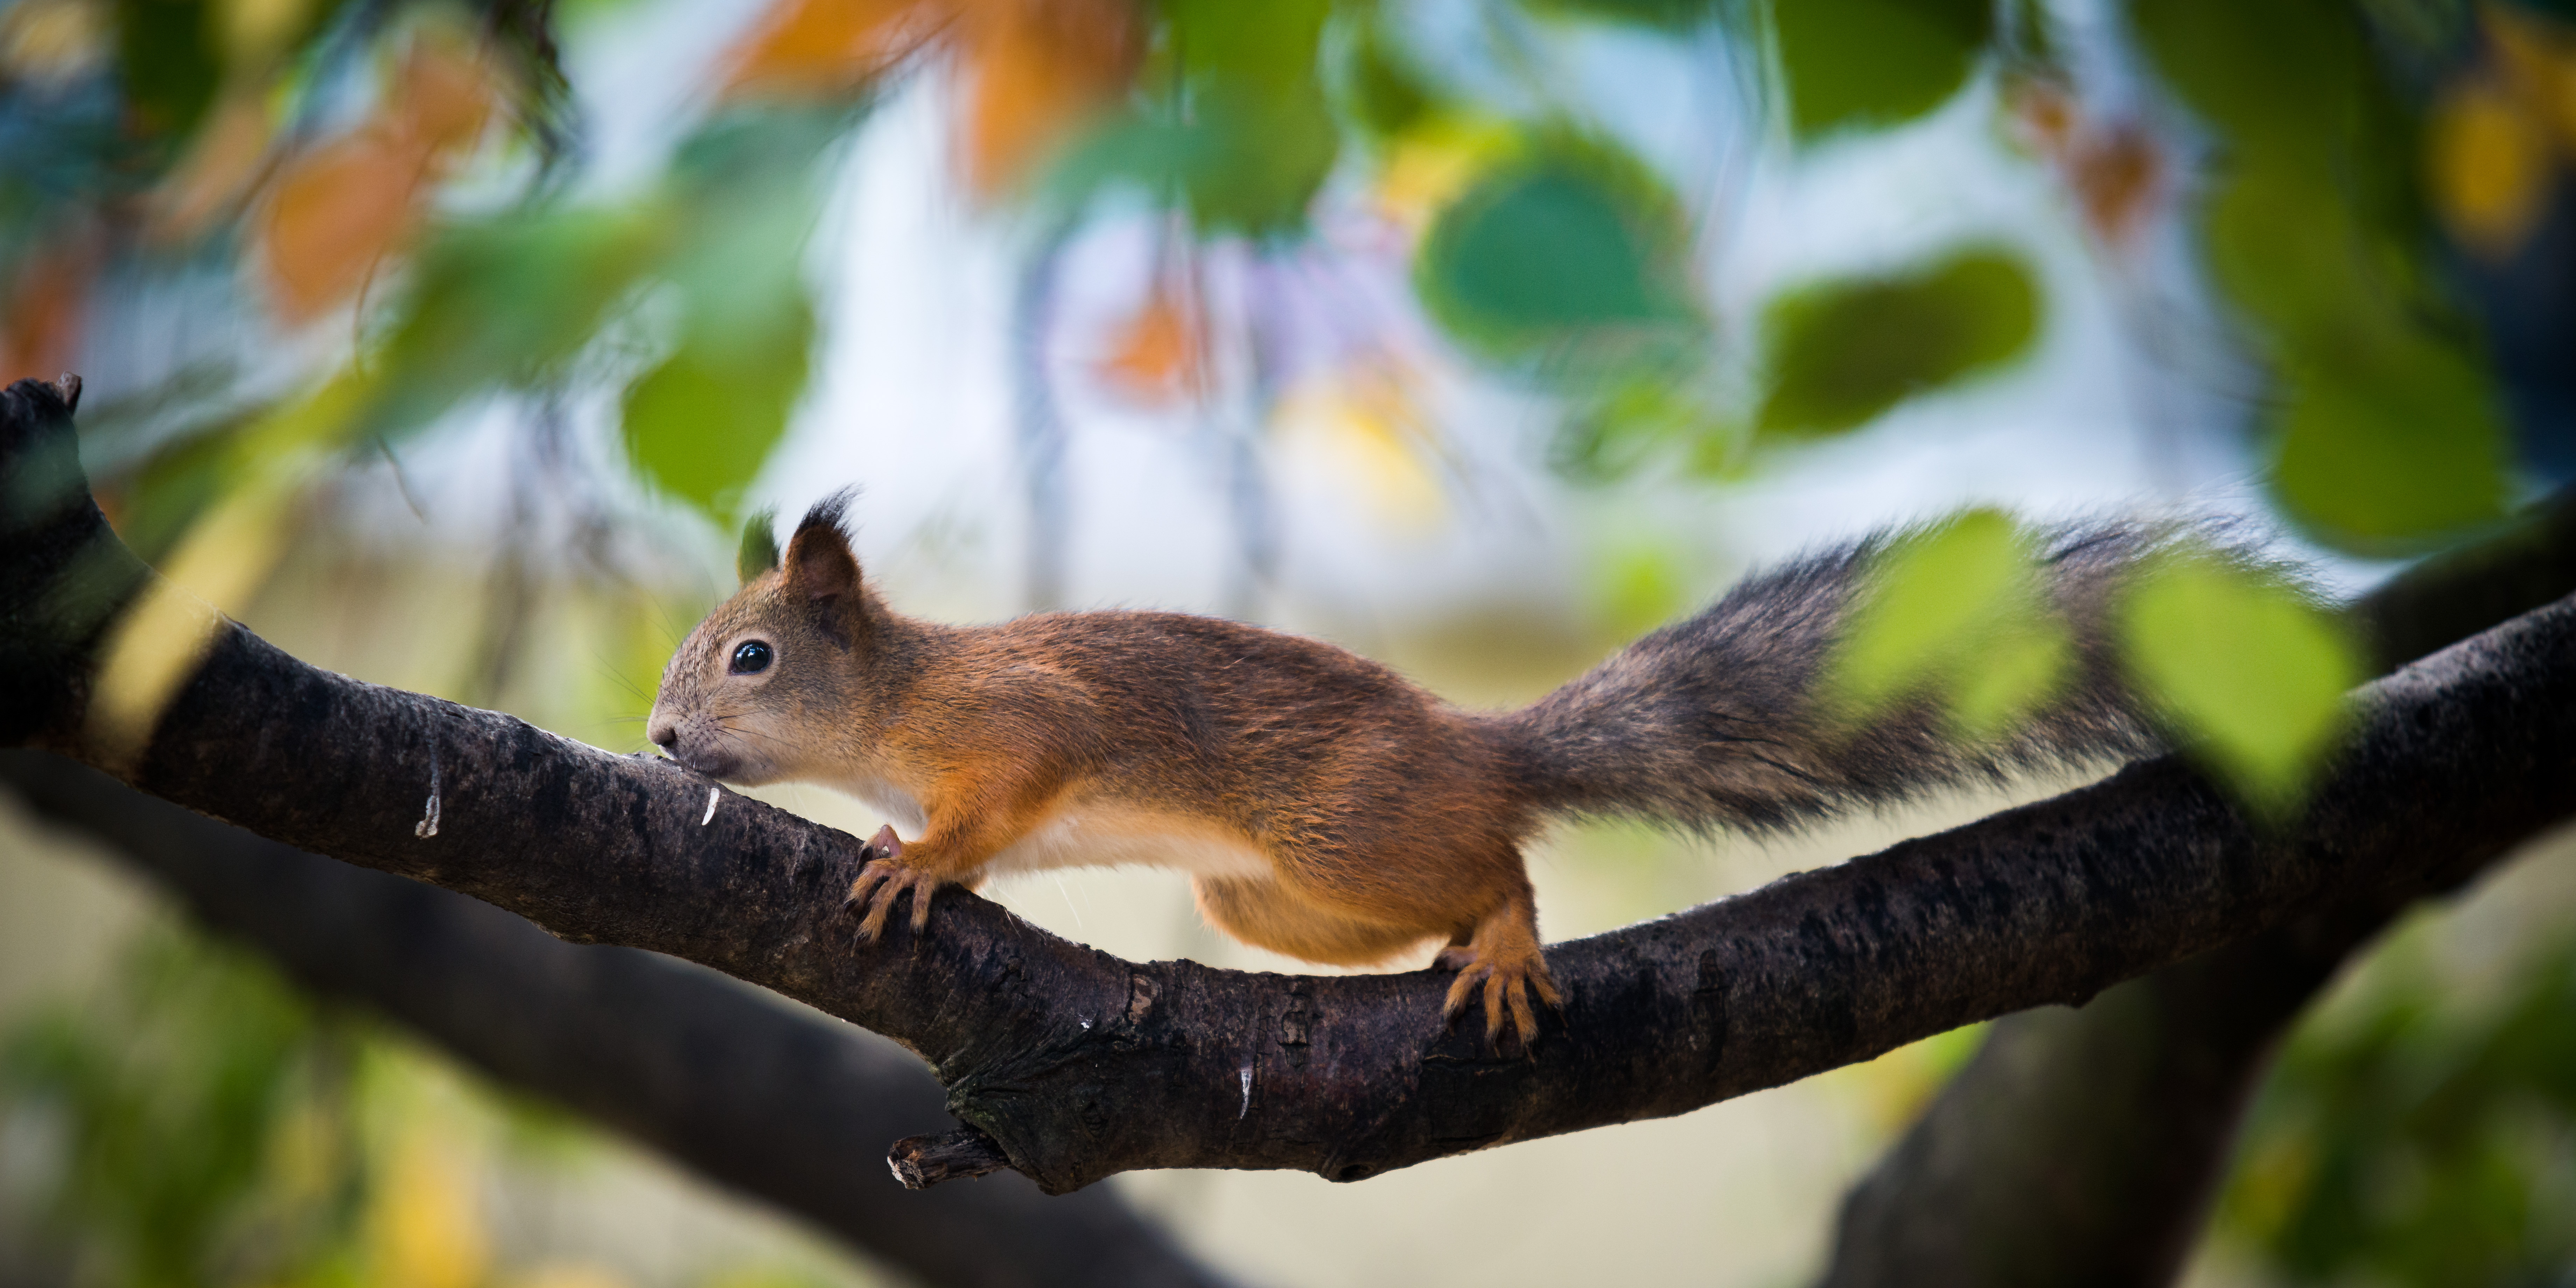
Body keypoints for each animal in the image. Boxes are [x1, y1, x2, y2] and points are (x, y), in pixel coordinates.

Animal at [649, 497, 2174, 1041]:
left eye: (750, 659)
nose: (657, 743)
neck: (895, 700)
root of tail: (1479, 748)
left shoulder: (1017, 721)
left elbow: (993, 806)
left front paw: (916, 865)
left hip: (1347, 829)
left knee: (1500, 861)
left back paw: (1500, 934)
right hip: (1267, 897)